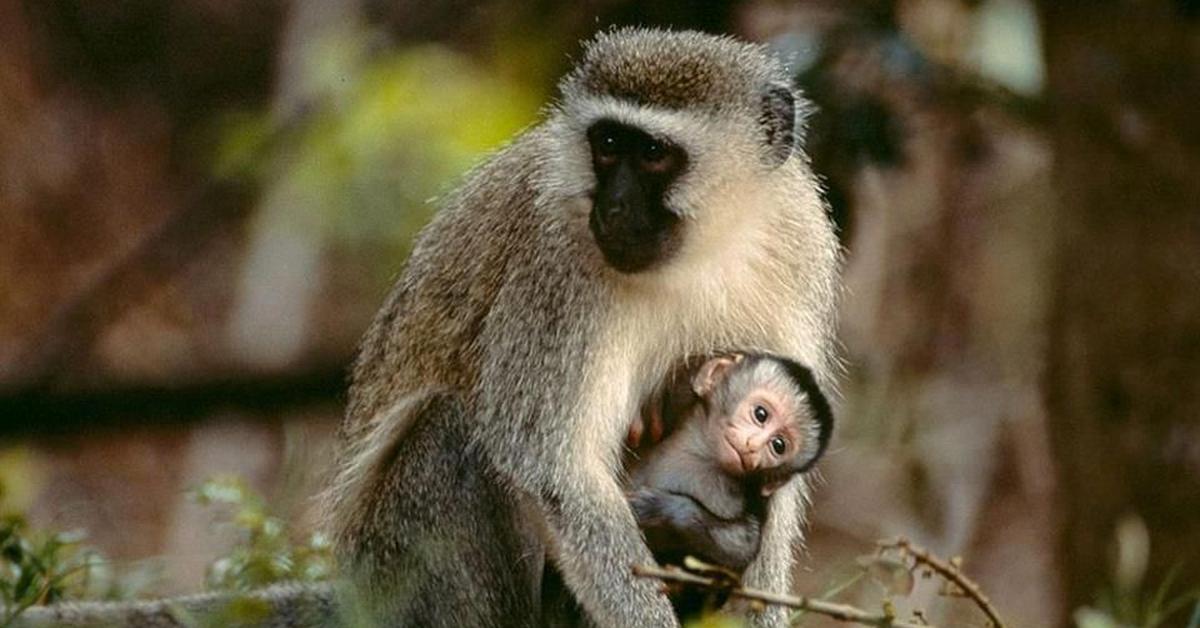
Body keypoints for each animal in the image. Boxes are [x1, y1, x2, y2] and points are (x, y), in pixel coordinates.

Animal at [628, 350, 835, 571]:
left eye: (778, 445)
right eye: (760, 414)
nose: (752, 445)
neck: (704, 458)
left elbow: (742, 546)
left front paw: (661, 507)